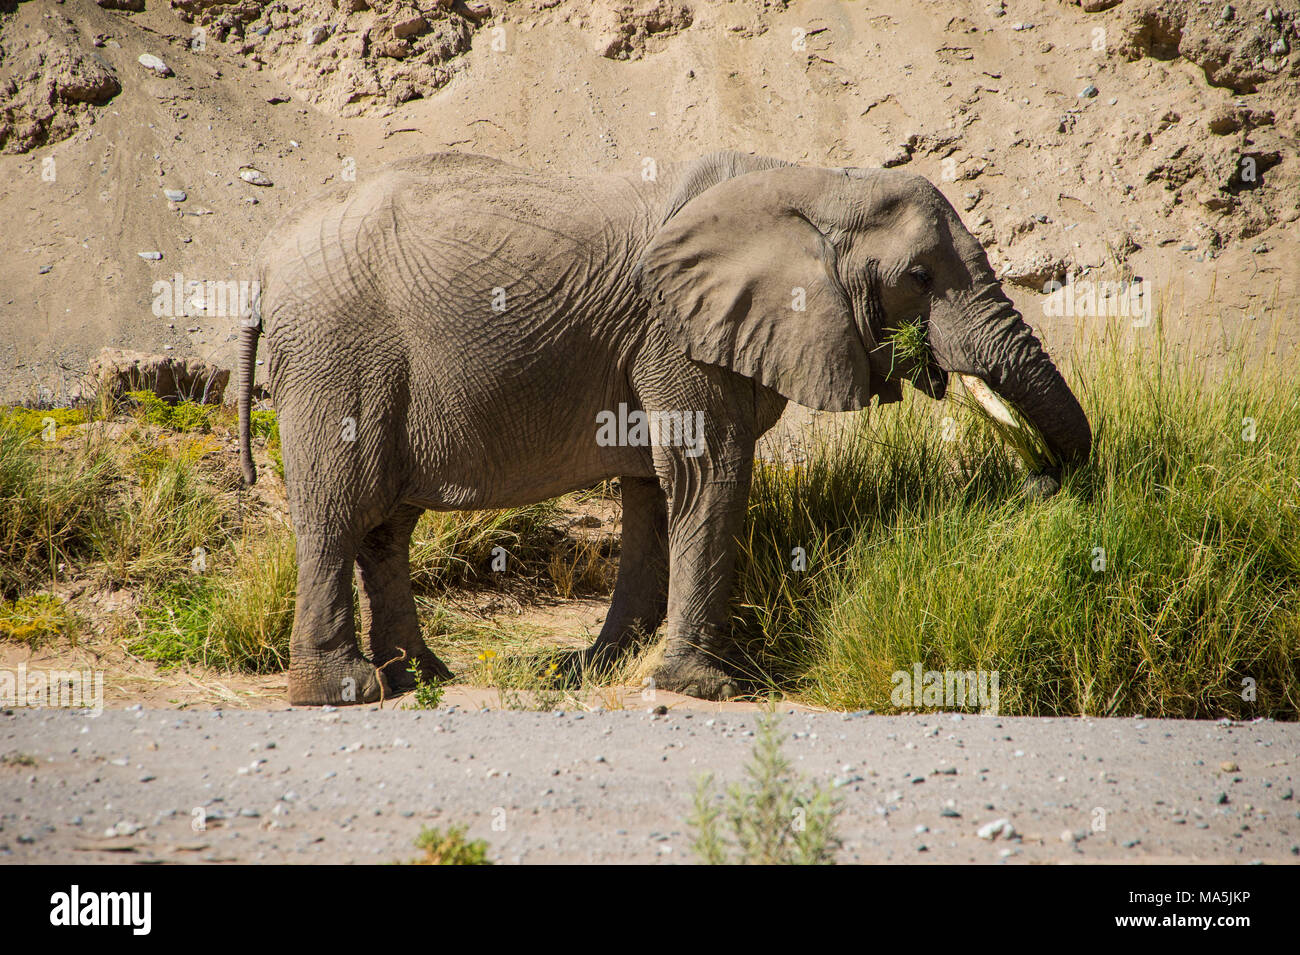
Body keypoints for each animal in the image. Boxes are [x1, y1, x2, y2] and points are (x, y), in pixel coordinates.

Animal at [233, 149, 1086, 701]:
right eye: (918, 277)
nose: (1043, 483)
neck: (812, 181)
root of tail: (263, 267)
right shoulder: (674, 330)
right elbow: (710, 473)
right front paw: (702, 686)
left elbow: (653, 490)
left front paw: (606, 670)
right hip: (338, 352)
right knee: (338, 509)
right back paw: (345, 691)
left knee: (387, 525)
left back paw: (422, 678)